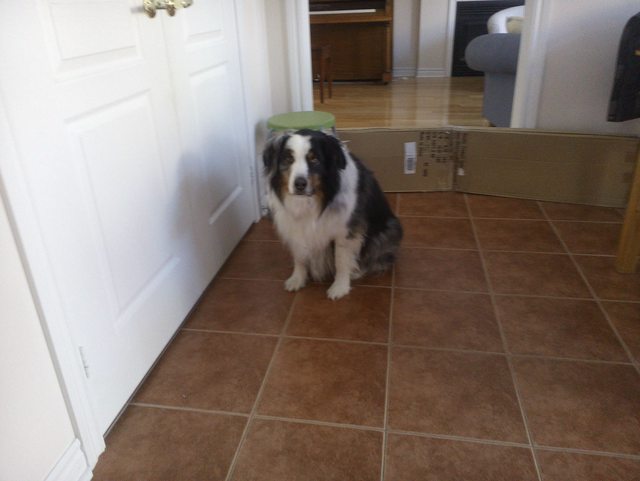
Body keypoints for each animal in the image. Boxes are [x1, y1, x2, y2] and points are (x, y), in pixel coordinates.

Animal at [263, 129, 402, 300]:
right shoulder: (294, 227)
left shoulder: (346, 231)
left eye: (314, 159)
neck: (314, 200)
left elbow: (341, 260)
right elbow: (299, 256)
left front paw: (340, 287)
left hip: (388, 231)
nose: (300, 184)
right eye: (289, 159)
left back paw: (356, 271)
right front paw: (297, 279)